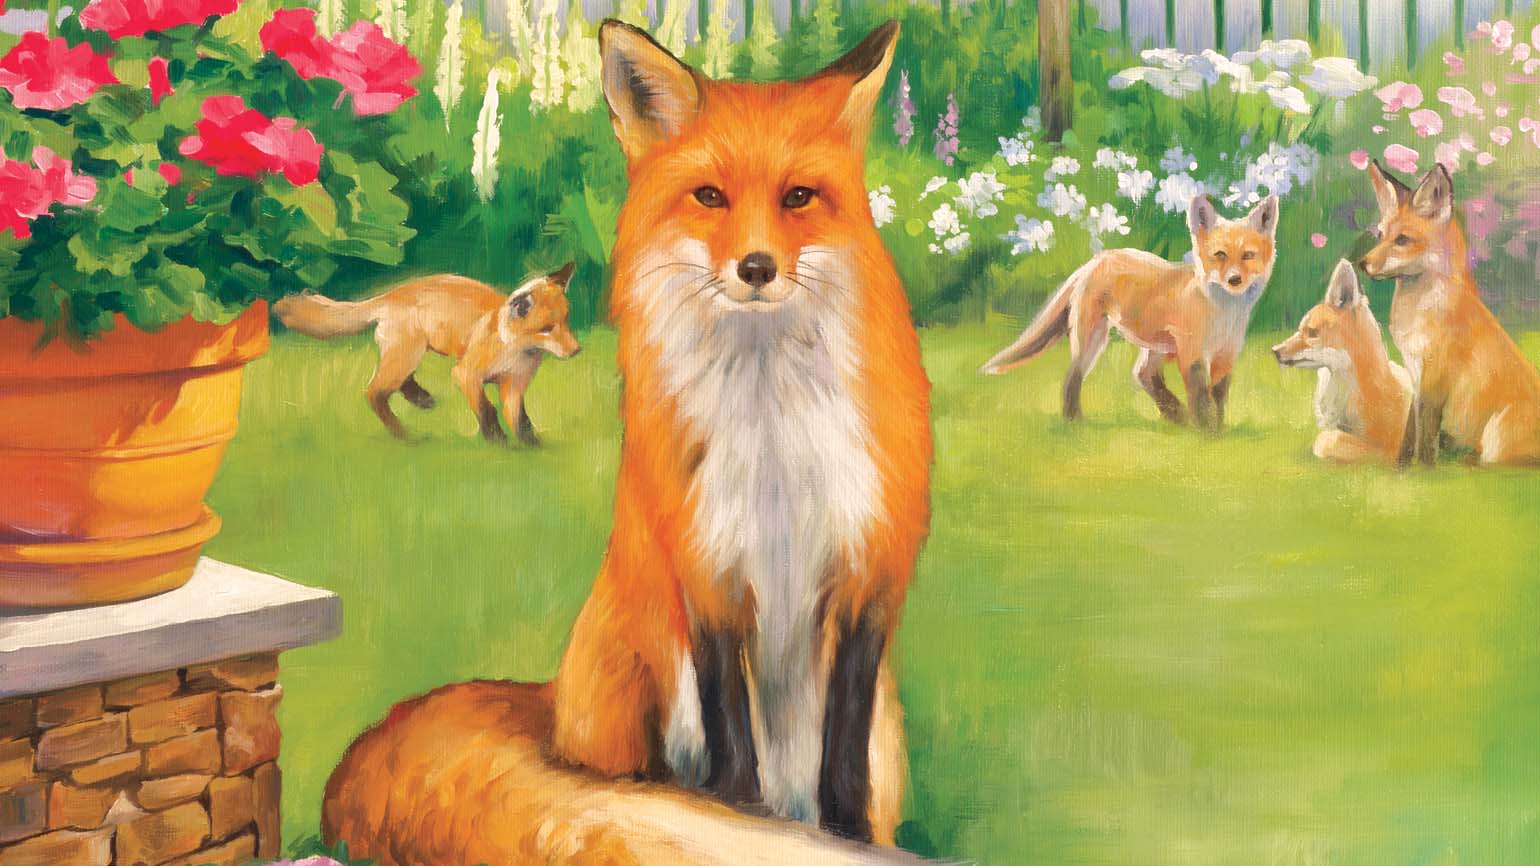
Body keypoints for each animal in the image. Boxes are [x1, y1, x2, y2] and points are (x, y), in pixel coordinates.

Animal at [272, 266, 581, 445]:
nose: (577, 350)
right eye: (546, 329)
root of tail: (392, 293)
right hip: (407, 355)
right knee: (375, 393)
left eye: (566, 321)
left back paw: (421, 399)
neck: (514, 350)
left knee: (398, 384)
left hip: (407, 356)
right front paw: (496, 441)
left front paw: (531, 449)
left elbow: (521, 420)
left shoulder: (514, 386)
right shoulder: (466, 374)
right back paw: (405, 436)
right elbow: (486, 409)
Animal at [980, 194, 1279, 431]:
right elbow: (1201, 397)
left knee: (1143, 375)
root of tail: (1097, 259)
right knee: (1073, 378)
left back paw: (1175, 415)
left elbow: (1217, 397)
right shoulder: (1192, 354)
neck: (1222, 314)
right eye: (1219, 255)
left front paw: (1219, 430)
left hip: (1158, 347)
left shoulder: (1225, 356)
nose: (1234, 280)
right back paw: (1073, 421)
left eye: (1248, 256)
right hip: (1094, 340)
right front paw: (1206, 433)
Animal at [1362, 161, 1540, 466]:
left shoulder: (1435, 375)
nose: (1362, 263)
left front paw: (1424, 470)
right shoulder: (1416, 376)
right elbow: (1410, 432)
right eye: (1381, 236)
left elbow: (1425, 435)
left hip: (1496, 439)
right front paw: (1401, 468)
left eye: (1403, 240)